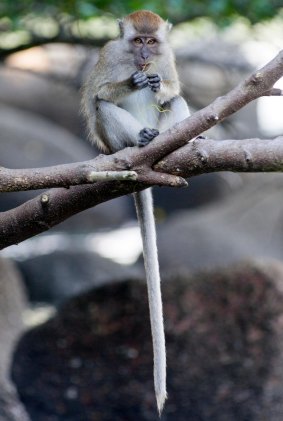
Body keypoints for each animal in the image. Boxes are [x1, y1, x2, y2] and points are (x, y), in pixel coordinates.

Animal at [81, 10, 190, 414]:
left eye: (151, 42)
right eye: (136, 41)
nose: (144, 57)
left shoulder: (167, 58)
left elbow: (172, 87)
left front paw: (156, 83)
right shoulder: (110, 55)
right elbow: (98, 94)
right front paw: (133, 81)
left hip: (167, 130)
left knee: (176, 103)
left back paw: (179, 144)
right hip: (116, 146)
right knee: (103, 107)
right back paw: (139, 142)